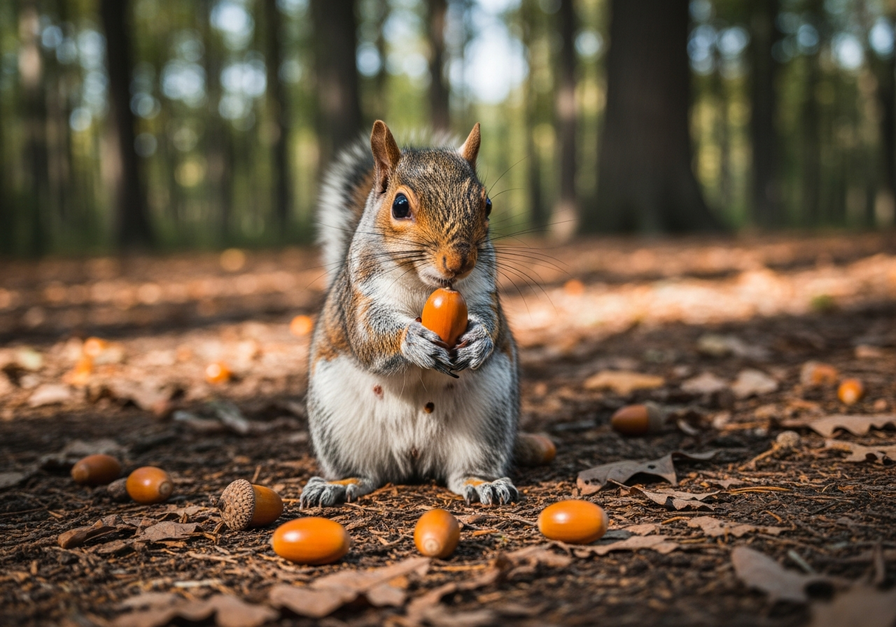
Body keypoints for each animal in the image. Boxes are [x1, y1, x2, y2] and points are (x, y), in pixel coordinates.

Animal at [301, 120, 540, 508]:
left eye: (487, 205)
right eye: (400, 205)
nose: (459, 262)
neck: (425, 286)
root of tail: (413, 457)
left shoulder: (483, 290)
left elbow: (491, 320)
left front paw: (479, 339)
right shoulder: (361, 296)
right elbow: (368, 336)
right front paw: (413, 341)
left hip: (489, 416)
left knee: (466, 468)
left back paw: (482, 483)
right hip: (338, 422)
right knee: (363, 471)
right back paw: (338, 484)